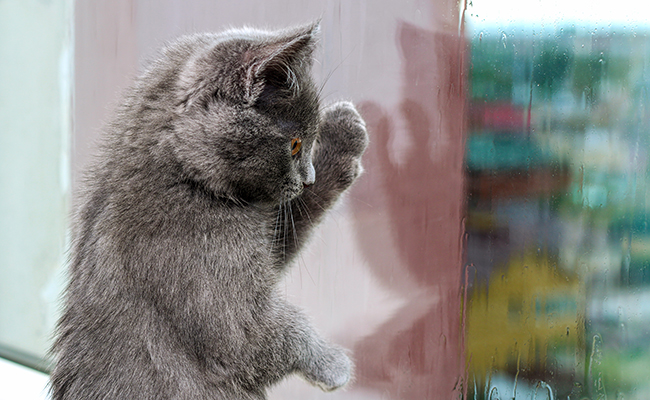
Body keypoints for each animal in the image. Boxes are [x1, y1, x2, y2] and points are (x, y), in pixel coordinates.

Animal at [49, 22, 364, 400]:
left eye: (307, 140)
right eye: (294, 145)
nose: (308, 178)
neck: (183, 176)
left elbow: (287, 229)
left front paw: (343, 132)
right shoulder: (208, 280)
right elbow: (268, 334)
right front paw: (334, 366)